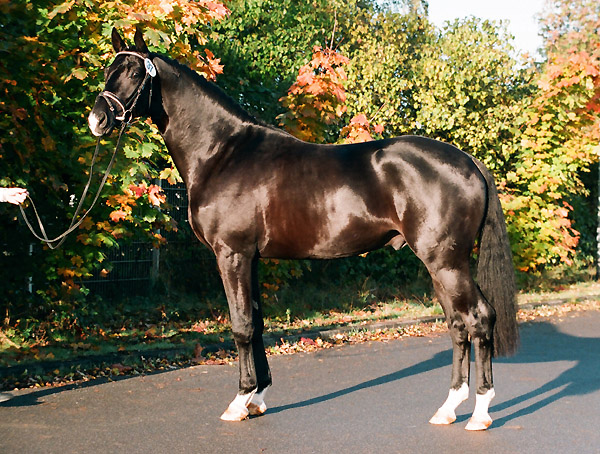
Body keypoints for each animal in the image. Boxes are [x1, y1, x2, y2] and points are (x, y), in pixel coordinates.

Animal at [90, 30, 520, 430]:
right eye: (108, 70)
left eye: (133, 72)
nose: (98, 119)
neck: (223, 152)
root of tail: (468, 161)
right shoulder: (252, 259)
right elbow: (257, 323)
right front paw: (257, 398)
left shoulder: (232, 254)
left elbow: (241, 326)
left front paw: (239, 401)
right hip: (441, 265)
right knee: (458, 325)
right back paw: (448, 408)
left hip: (446, 262)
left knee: (479, 319)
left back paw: (480, 413)